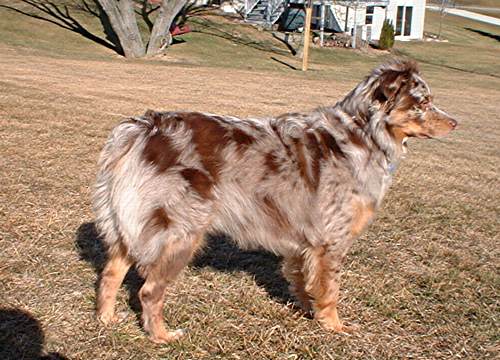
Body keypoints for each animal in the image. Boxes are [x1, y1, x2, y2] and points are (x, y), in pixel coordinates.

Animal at [93, 59, 458, 344]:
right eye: (423, 102)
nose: (457, 122)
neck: (363, 134)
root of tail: (144, 127)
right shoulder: (332, 241)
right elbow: (331, 290)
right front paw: (334, 326)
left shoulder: (303, 242)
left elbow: (304, 282)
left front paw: (307, 311)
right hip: (180, 233)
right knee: (149, 291)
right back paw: (161, 335)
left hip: (130, 225)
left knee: (110, 273)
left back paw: (107, 319)